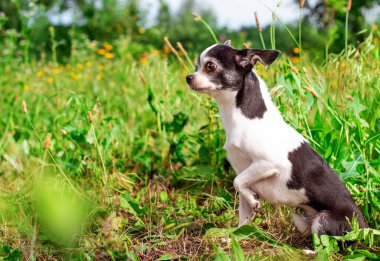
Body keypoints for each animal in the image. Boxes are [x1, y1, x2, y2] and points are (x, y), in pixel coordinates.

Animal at [186, 41, 366, 236]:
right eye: (196, 66)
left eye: (210, 66)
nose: (188, 77)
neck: (242, 117)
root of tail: (365, 227)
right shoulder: (244, 171)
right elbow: (243, 214)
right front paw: (235, 236)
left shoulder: (268, 163)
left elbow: (237, 181)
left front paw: (254, 200)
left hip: (323, 220)